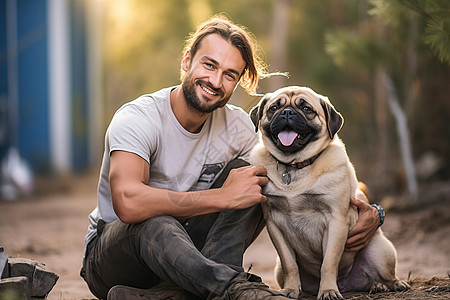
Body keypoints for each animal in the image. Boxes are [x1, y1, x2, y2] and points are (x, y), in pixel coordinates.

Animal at [248, 85, 410, 298]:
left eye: (306, 109)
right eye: (274, 108)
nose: (287, 112)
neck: (294, 166)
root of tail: (346, 283)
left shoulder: (336, 221)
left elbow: (328, 263)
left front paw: (328, 290)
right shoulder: (274, 224)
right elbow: (290, 263)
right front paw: (290, 289)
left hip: (381, 251)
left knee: (386, 275)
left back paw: (391, 284)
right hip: (278, 268)